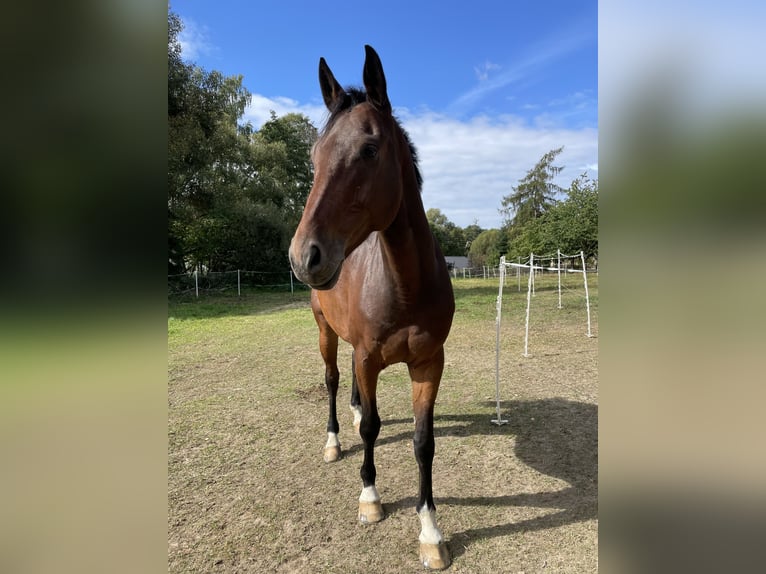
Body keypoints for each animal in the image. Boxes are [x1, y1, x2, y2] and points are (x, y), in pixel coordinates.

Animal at [289, 45, 455, 569]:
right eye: (314, 156)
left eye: (369, 150)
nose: (304, 256)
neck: (404, 285)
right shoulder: (367, 358)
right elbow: (372, 429)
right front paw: (370, 498)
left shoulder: (429, 364)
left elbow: (424, 443)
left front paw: (430, 532)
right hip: (325, 332)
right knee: (333, 381)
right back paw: (333, 440)